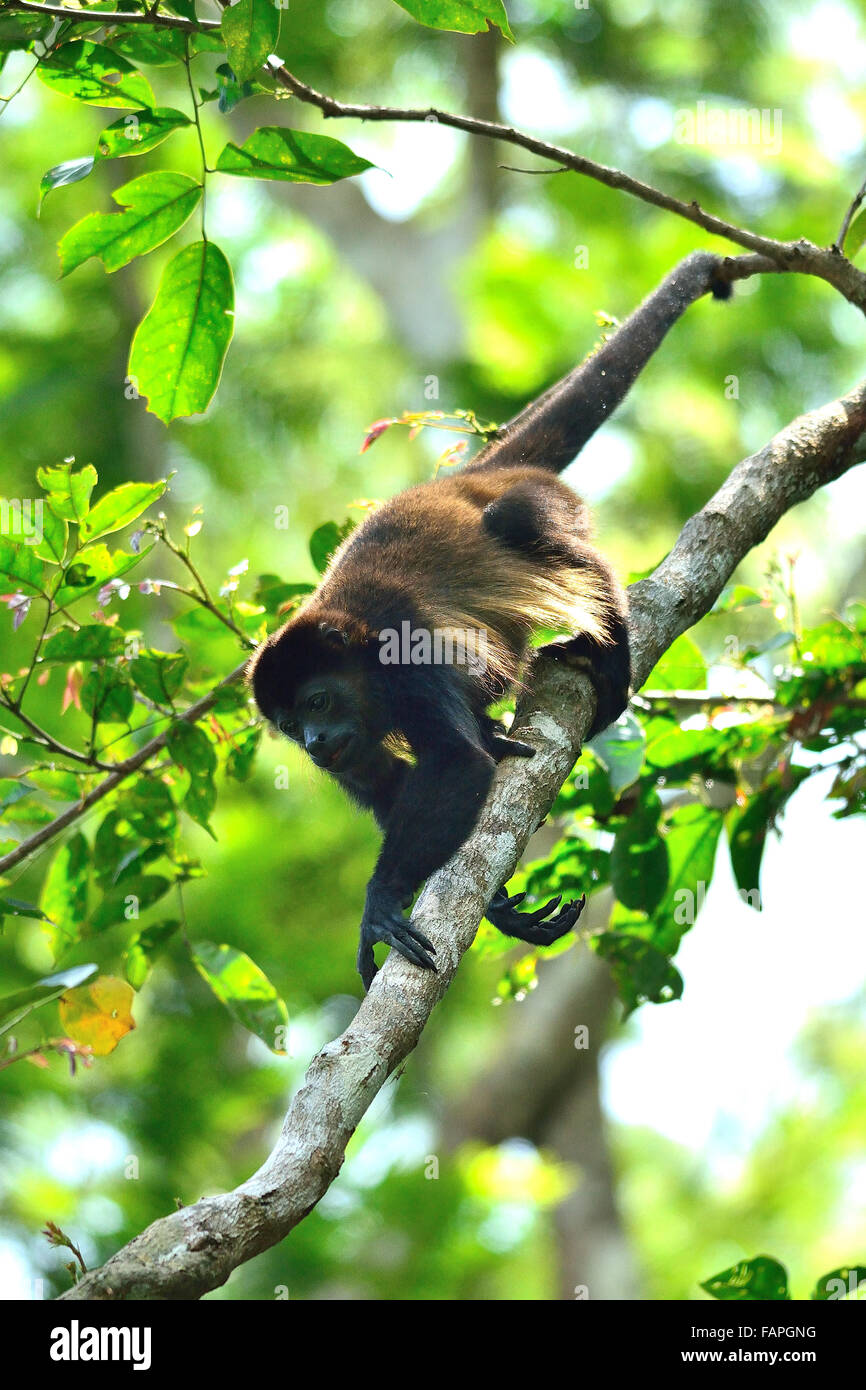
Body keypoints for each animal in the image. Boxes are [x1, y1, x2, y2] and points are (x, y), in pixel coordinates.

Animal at [250, 252, 733, 989]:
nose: (312, 742)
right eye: (287, 722)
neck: (359, 654)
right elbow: (393, 783)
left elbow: (455, 765)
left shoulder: (406, 657)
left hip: (540, 498)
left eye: (317, 701)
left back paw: (611, 645)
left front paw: (379, 903)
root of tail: (468, 475)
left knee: (536, 532)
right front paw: (501, 907)